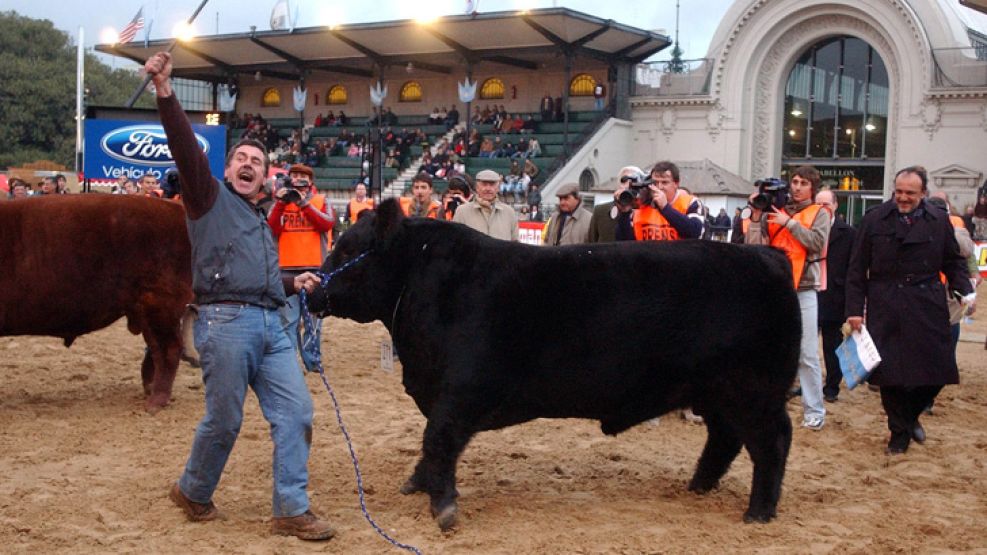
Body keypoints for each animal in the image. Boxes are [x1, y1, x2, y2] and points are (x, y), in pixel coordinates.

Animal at [0, 195, 193, 412]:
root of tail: (175, 207)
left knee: (168, 348)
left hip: (160, 301)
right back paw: (149, 390)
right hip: (146, 309)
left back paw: (155, 402)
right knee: (156, 348)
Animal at [308, 200, 804, 528]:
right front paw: (419, 484)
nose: (310, 287)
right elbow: (432, 447)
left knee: (771, 442)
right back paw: (699, 485)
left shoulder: (460, 391)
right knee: (725, 439)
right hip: (716, 392)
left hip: (753, 391)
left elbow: (439, 440)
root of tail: (766, 256)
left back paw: (759, 511)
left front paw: (443, 507)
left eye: (346, 248)